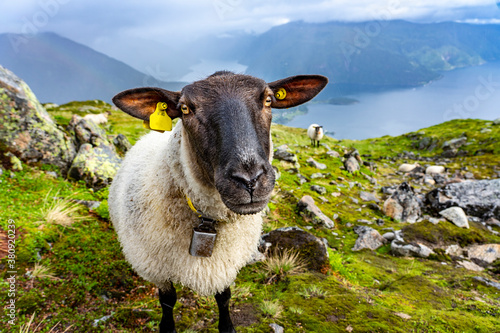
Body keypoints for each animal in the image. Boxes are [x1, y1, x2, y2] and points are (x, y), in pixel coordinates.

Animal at [109, 70, 328, 332]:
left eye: (268, 100)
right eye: (185, 109)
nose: (250, 180)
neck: (208, 221)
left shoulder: (225, 264)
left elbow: (224, 297)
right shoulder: (157, 270)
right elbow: (168, 301)